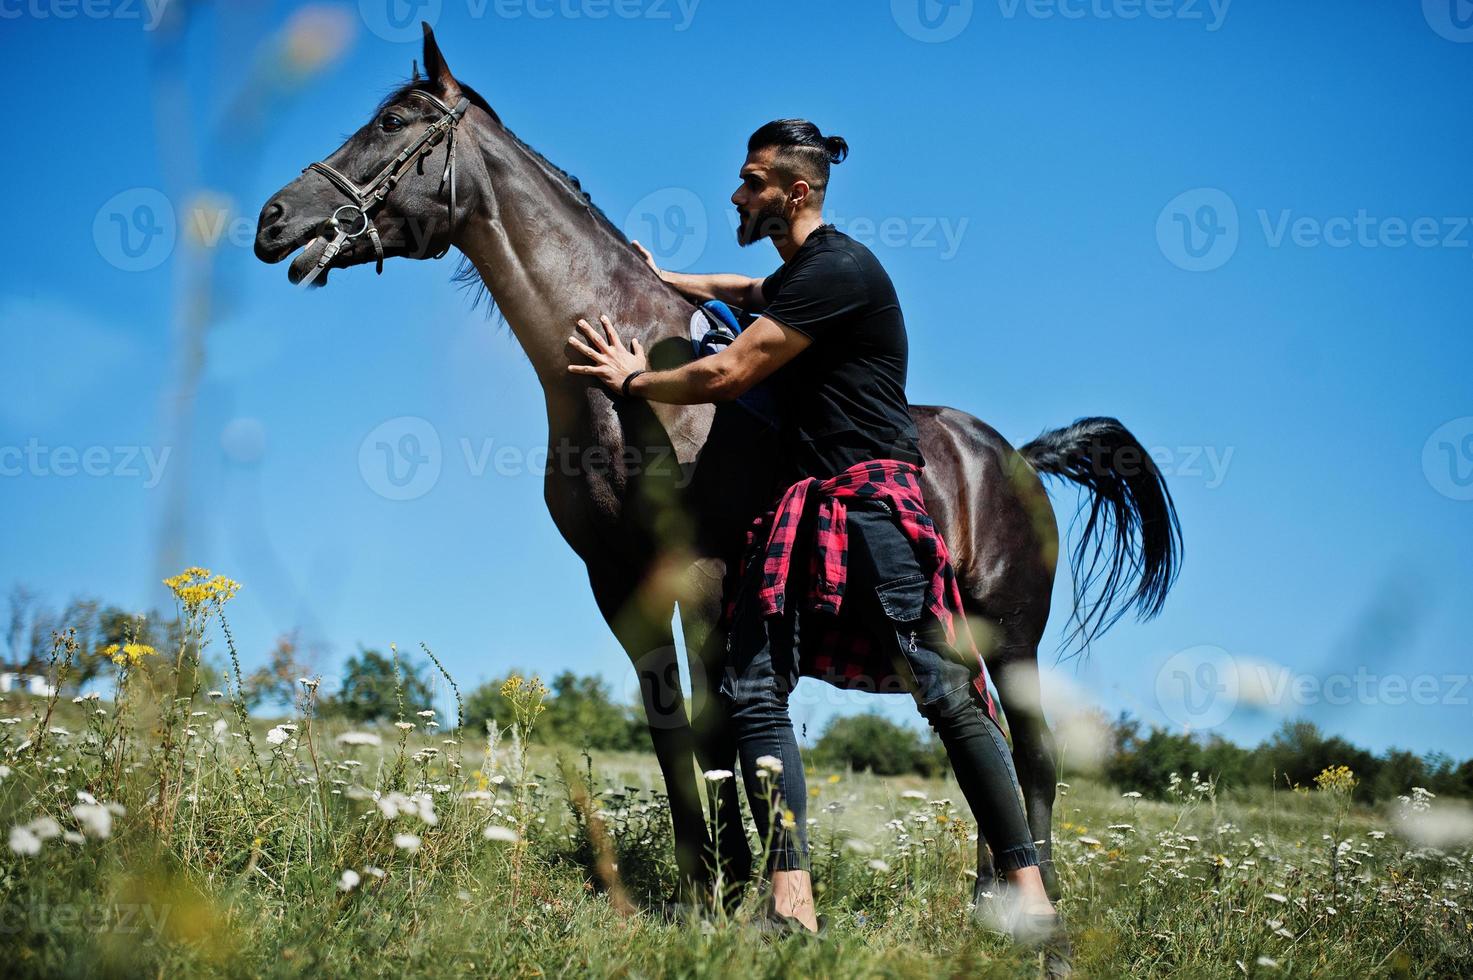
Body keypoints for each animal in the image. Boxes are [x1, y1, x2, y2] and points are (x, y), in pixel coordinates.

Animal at [250, 26, 1172, 896]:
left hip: (1011, 639)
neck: (628, 393)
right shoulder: (620, 586)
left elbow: (714, 732)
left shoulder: (699, 581)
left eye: (391, 123)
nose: (272, 219)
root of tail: (1015, 458)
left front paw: (733, 884)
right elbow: (672, 735)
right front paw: (703, 885)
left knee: (1030, 757)